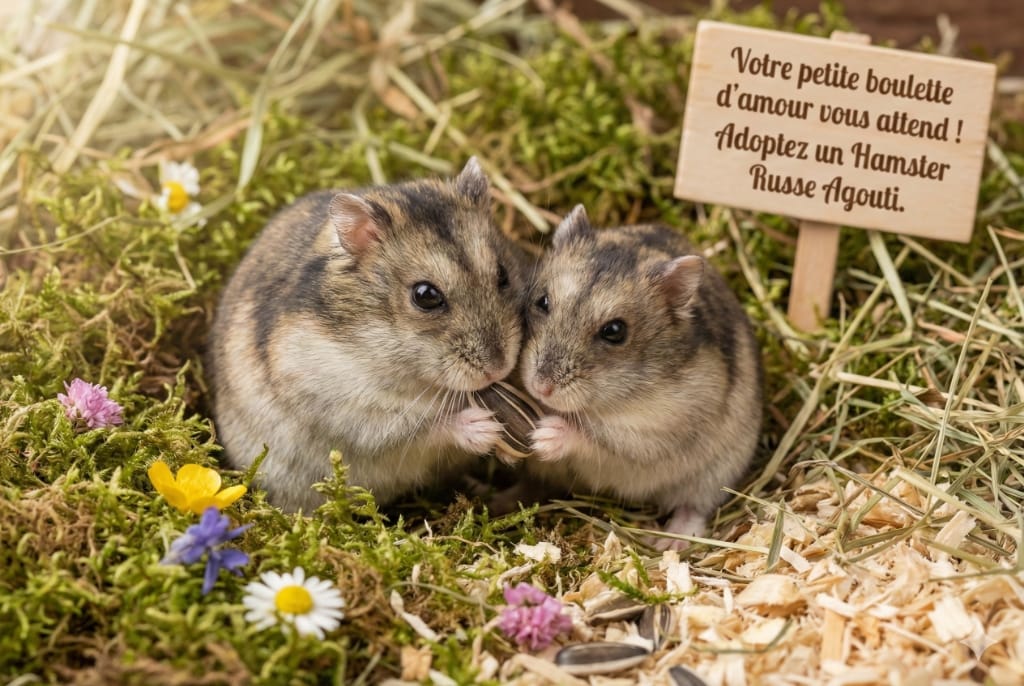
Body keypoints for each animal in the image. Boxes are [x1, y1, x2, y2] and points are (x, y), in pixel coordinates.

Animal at [207, 159, 526, 512]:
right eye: (425, 295)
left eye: (503, 274)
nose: (498, 369)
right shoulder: (354, 415)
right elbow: (421, 429)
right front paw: (485, 428)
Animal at [518, 205, 762, 548]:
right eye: (542, 301)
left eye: (615, 331)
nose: (541, 387)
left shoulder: (651, 435)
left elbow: (597, 441)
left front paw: (544, 435)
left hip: (716, 472)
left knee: (695, 507)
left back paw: (670, 541)